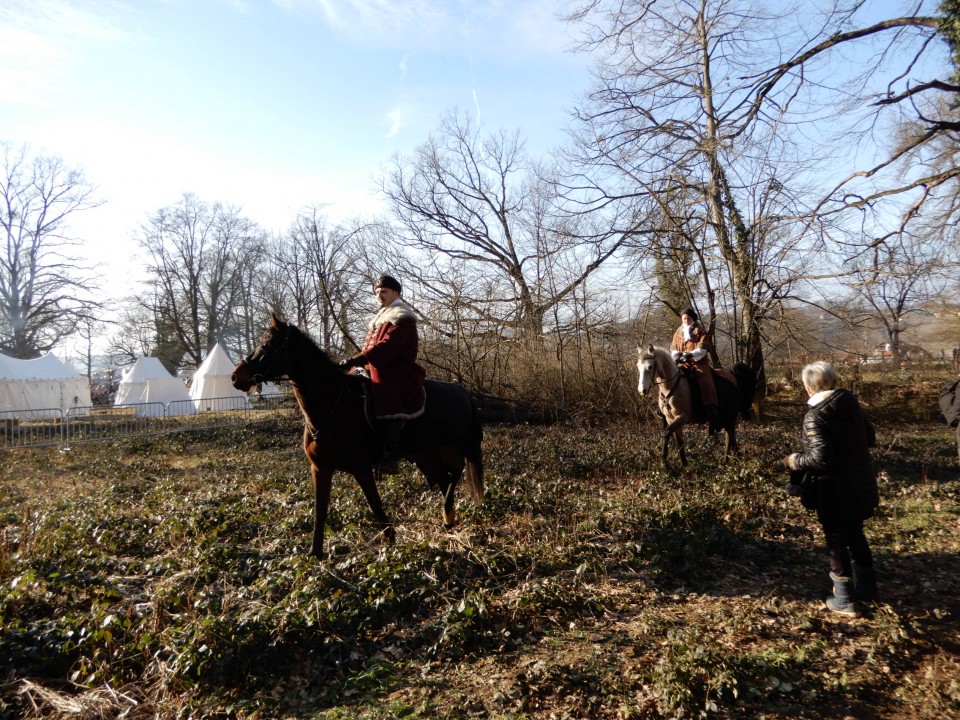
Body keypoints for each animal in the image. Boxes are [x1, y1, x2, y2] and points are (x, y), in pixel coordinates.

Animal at [233, 314, 484, 556]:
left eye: (267, 345)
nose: (237, 377)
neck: (332, 404)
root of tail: (462, 392)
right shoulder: (320, 468)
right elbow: (320, 510)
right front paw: (315, 553)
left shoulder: (361, 468)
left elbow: (375, 504)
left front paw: (391, 541)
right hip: (427, 455)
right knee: (444, 479)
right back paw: (448, 518)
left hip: (454, 448)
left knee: (457, 472)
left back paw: (447, 513)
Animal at [636, 344, 756, 472]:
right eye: (638, 366)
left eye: (650, 366)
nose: (642, 390)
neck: (672, 386)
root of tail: (732, 375)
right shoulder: (670, 418)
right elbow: (679, 441)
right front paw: (684, 464)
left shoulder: (683, 417)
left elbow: (666, 433)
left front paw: (666, 464)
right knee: (730, 435)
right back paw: (731, 458)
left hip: (730, 415)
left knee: (730, 435)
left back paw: (727, 461)